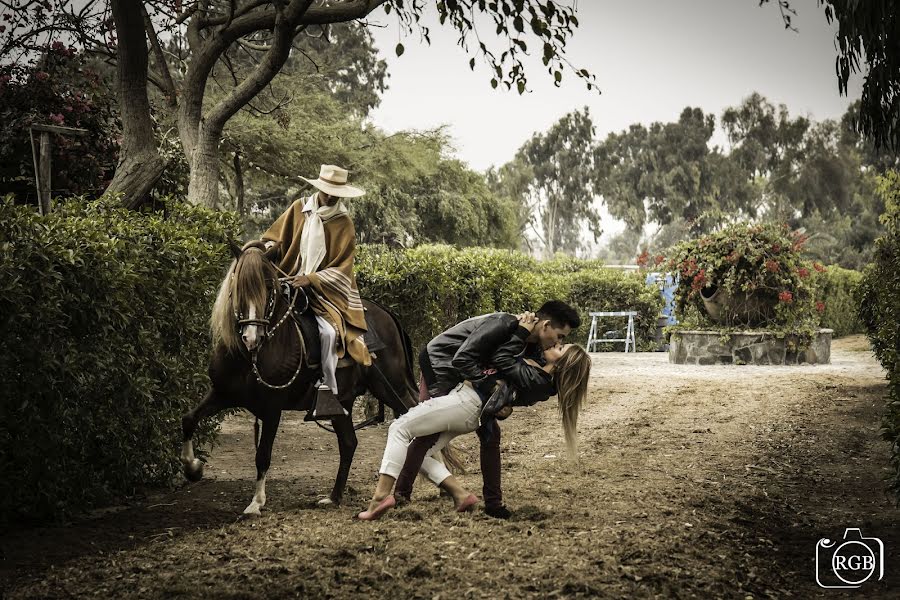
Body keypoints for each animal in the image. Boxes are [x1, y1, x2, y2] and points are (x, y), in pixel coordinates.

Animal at [184, 241, 426, 512]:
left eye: (269, 288)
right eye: (239, 287)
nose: (252, 337)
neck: (250, 358)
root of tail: (386, 313)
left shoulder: (272, 408)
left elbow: (263, 454)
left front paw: (257, 502)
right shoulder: (221, 394)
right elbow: (188, 420)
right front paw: (193, 469)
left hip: (392, 386)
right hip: (342, 401)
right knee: (349, 443)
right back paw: (334, 497)